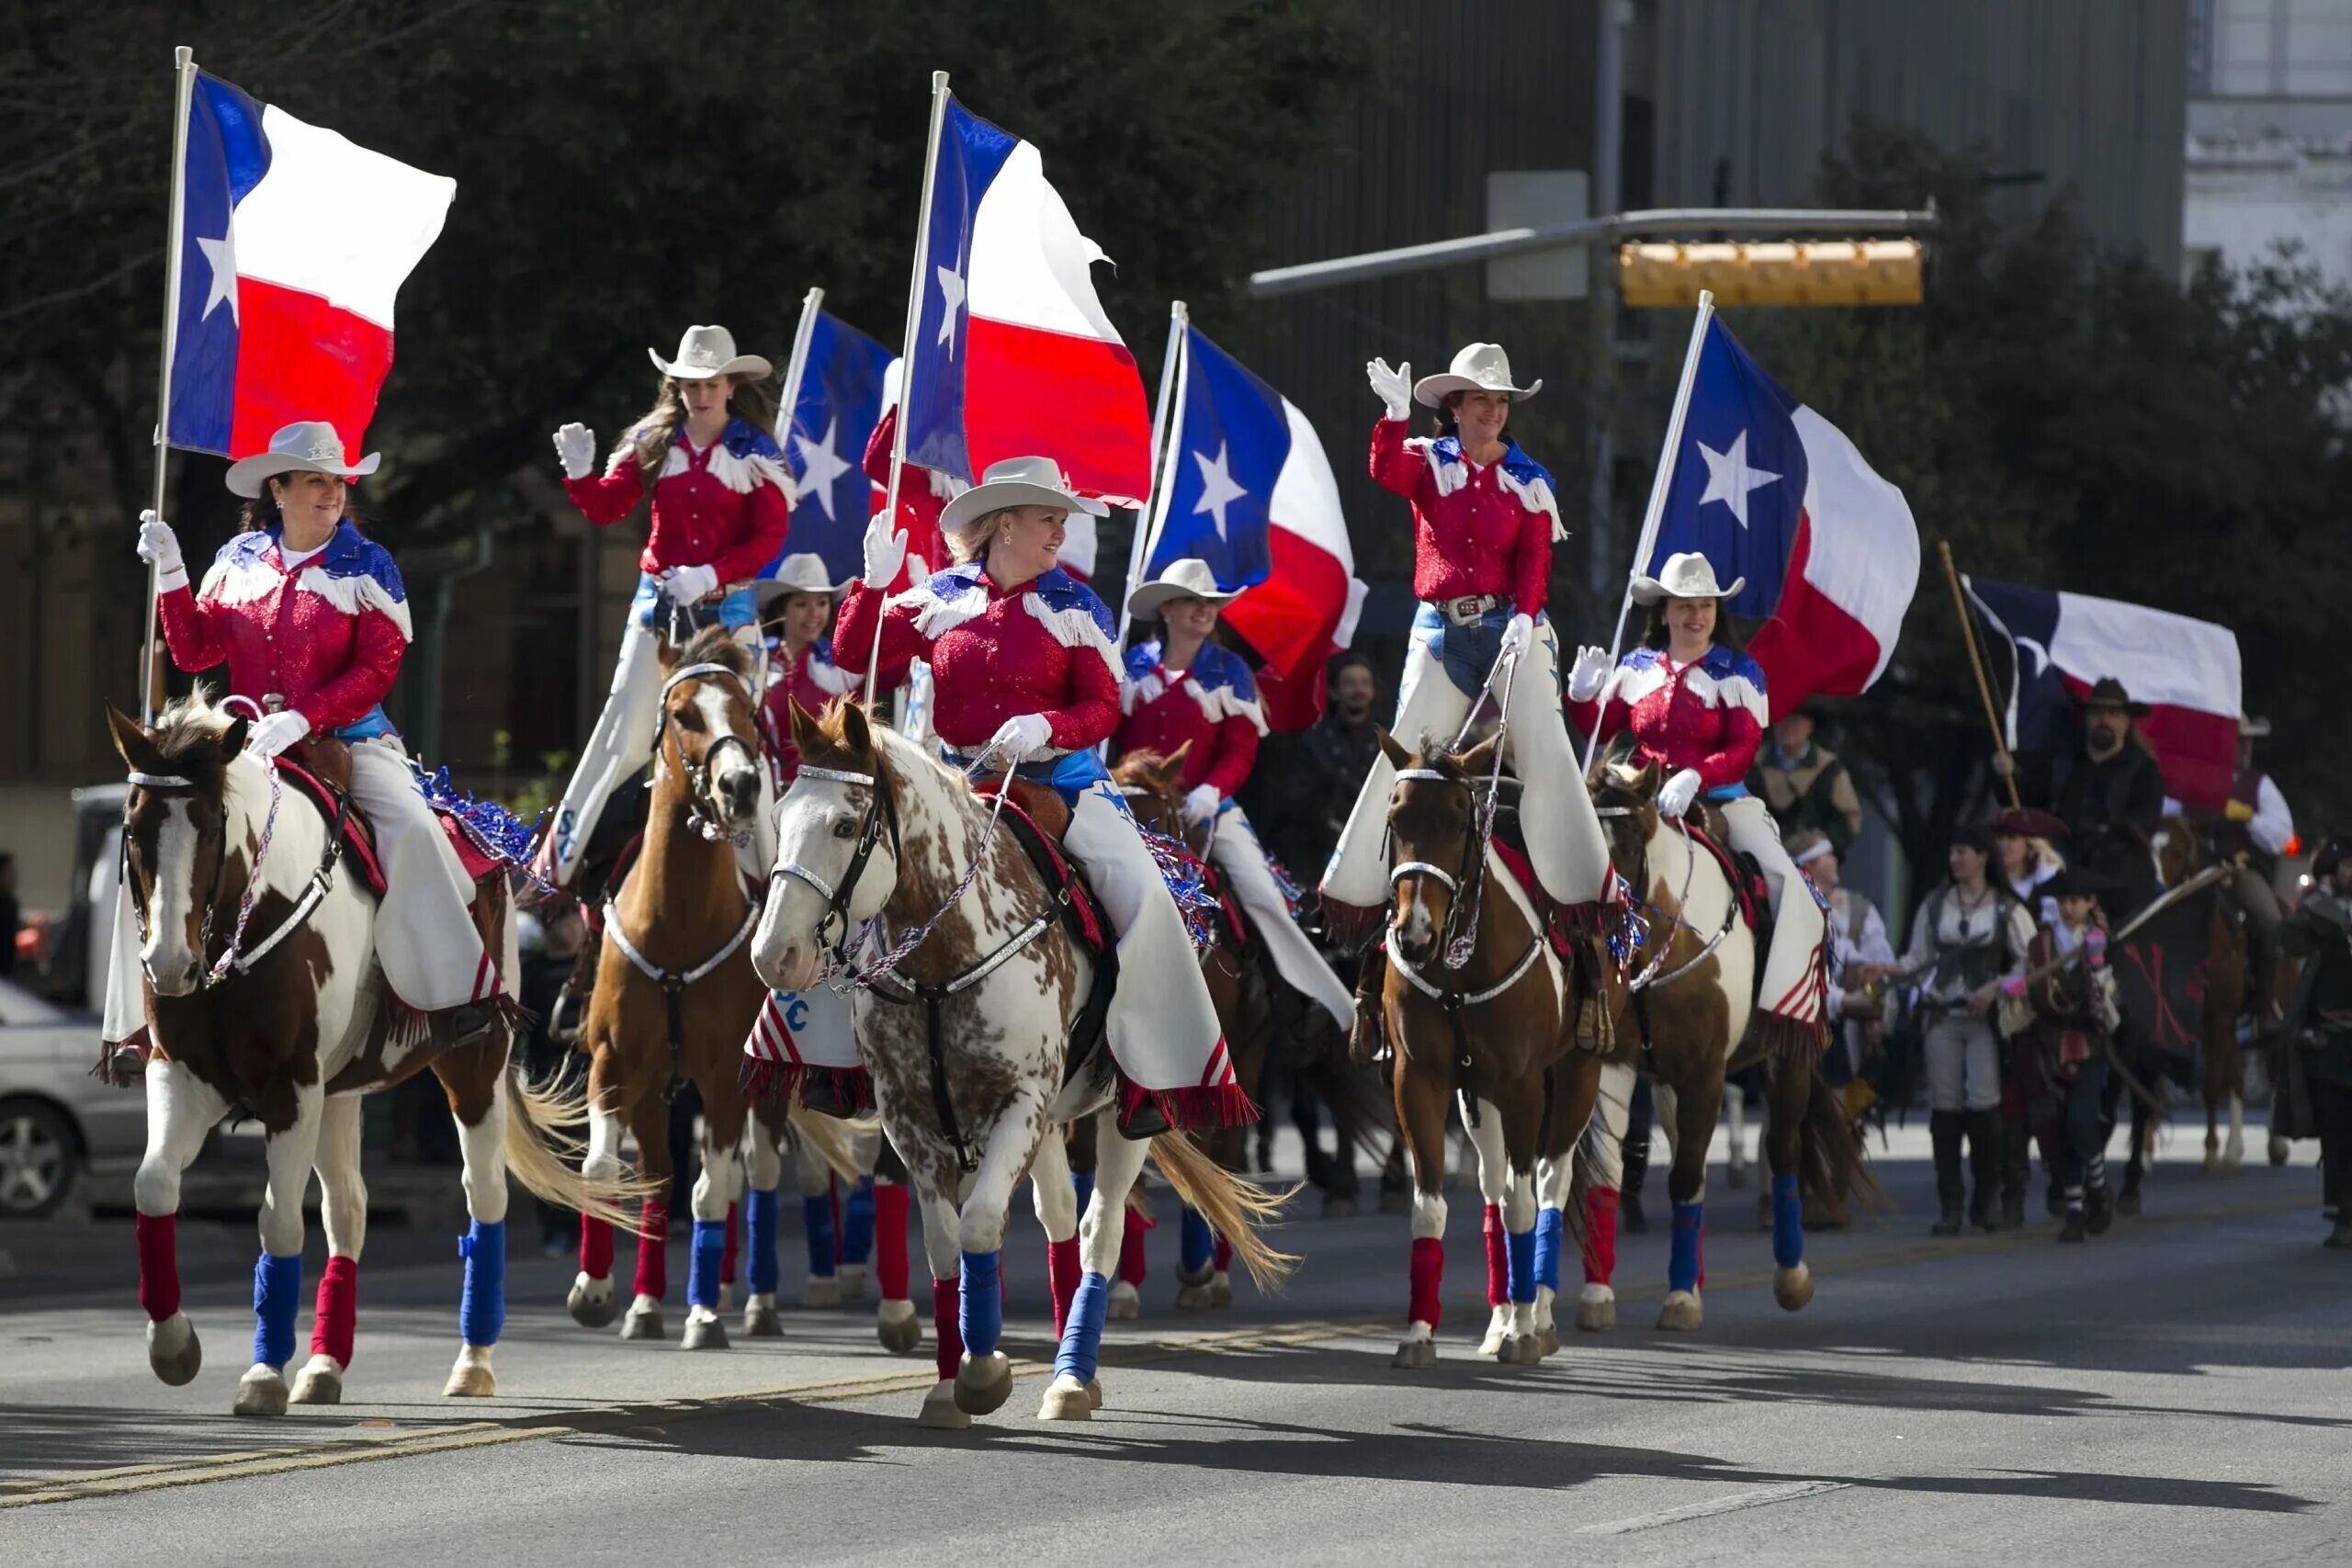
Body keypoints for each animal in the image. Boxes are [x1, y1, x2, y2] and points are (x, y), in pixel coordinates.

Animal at [110, 691, 635, 1419]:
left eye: (212, 827)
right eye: (134, 831)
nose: (167, 965)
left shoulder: (290, 1086)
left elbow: (278, 1222)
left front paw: (262, 1375)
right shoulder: (182, 1073)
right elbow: (154, 1185)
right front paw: (175, 1347)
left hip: (472, 1067)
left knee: (484, 1196)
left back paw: (472, 1362)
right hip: (340, 1093)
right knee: (350, 1210)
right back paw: (324, 1365)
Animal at [569, 625, 846, 1354]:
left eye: (748, 712)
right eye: (681, 713)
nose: (741, 785)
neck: (678, 922)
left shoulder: (725, 1076)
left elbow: (711, 1190)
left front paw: (701, 1316)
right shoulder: (614, 1061)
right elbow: (608, 1172)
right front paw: (599, 1295)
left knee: (756, 1175)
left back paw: (755, 1302)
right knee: (662, 1173)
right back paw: (647, 1302)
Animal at [762, 705, 1298, 1429]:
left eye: (846, 826)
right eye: (780, 814)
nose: (774, 955)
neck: (945, 957)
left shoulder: (1021, 1102)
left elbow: (983, 1222)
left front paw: (983, 1372)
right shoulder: (909, 1118)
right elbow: (945, 1244)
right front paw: (946, 1386)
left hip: (1118, 1112)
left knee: (1099, 1228)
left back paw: (1072, 1377)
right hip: (1047, 1124)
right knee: (1061, 1218)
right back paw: (1072, 1369)